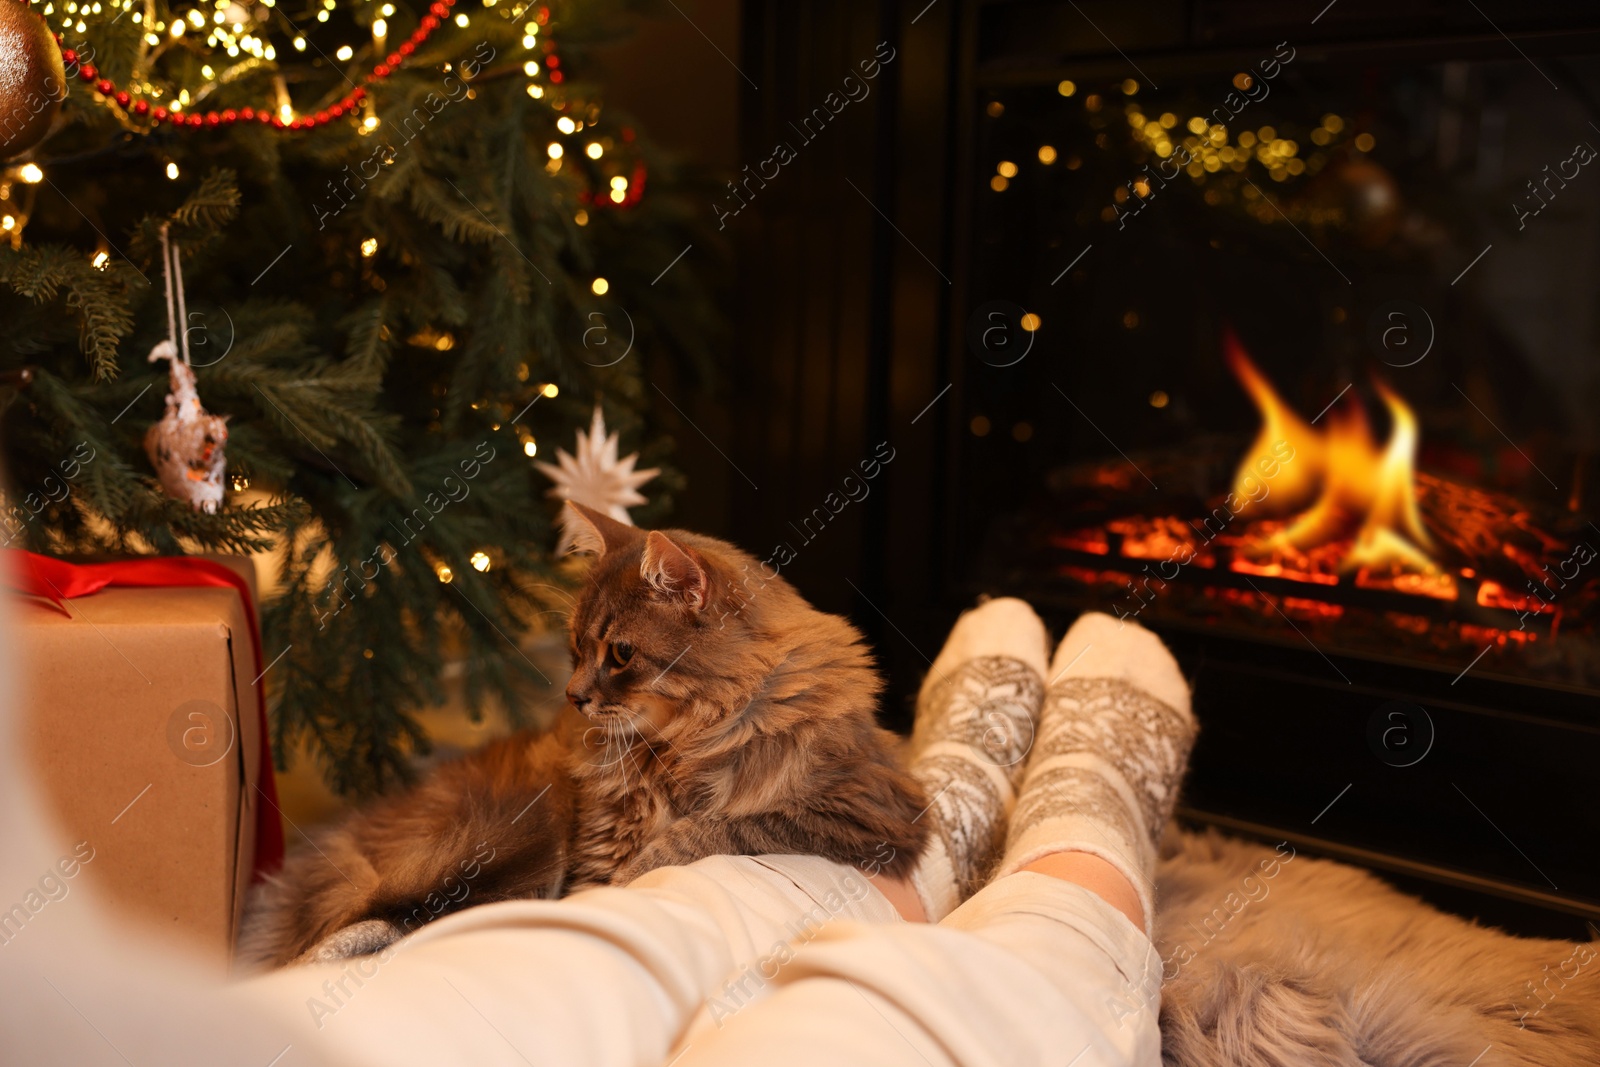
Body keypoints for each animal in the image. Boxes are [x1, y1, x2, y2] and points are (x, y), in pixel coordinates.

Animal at [243, 502, 934, 966]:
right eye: (576, 649)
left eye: (621, 654)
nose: (573, 698)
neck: (680, 743)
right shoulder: (589, 845)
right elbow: (603, 884)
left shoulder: (869, 816)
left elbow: (724, 826)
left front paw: (652, 860)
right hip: (525, 830)